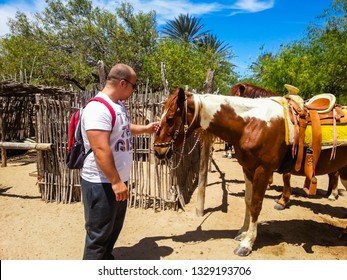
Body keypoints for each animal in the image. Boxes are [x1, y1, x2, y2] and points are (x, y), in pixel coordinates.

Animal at [154, 88, 347, 256]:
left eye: (170, 119)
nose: (157, 151)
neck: (252, 124)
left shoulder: (263, 170)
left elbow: (256, 204)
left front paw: (247, 243)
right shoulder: (247, 169)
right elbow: (248, 201)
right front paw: (242, 232)